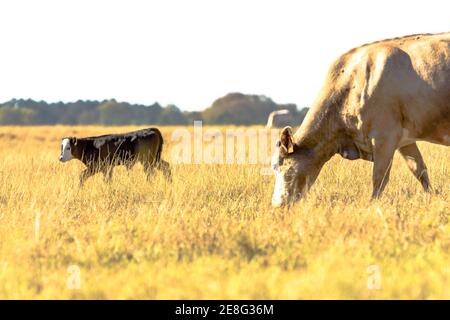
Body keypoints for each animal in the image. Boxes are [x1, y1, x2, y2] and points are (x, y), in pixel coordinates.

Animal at [270, 32, 450, 208]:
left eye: (278, 165)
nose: (276, 205)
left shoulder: (384, 136)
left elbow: (379, 178)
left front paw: (372, 205)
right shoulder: (405, 139)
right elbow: (419, 170)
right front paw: (431, 198)